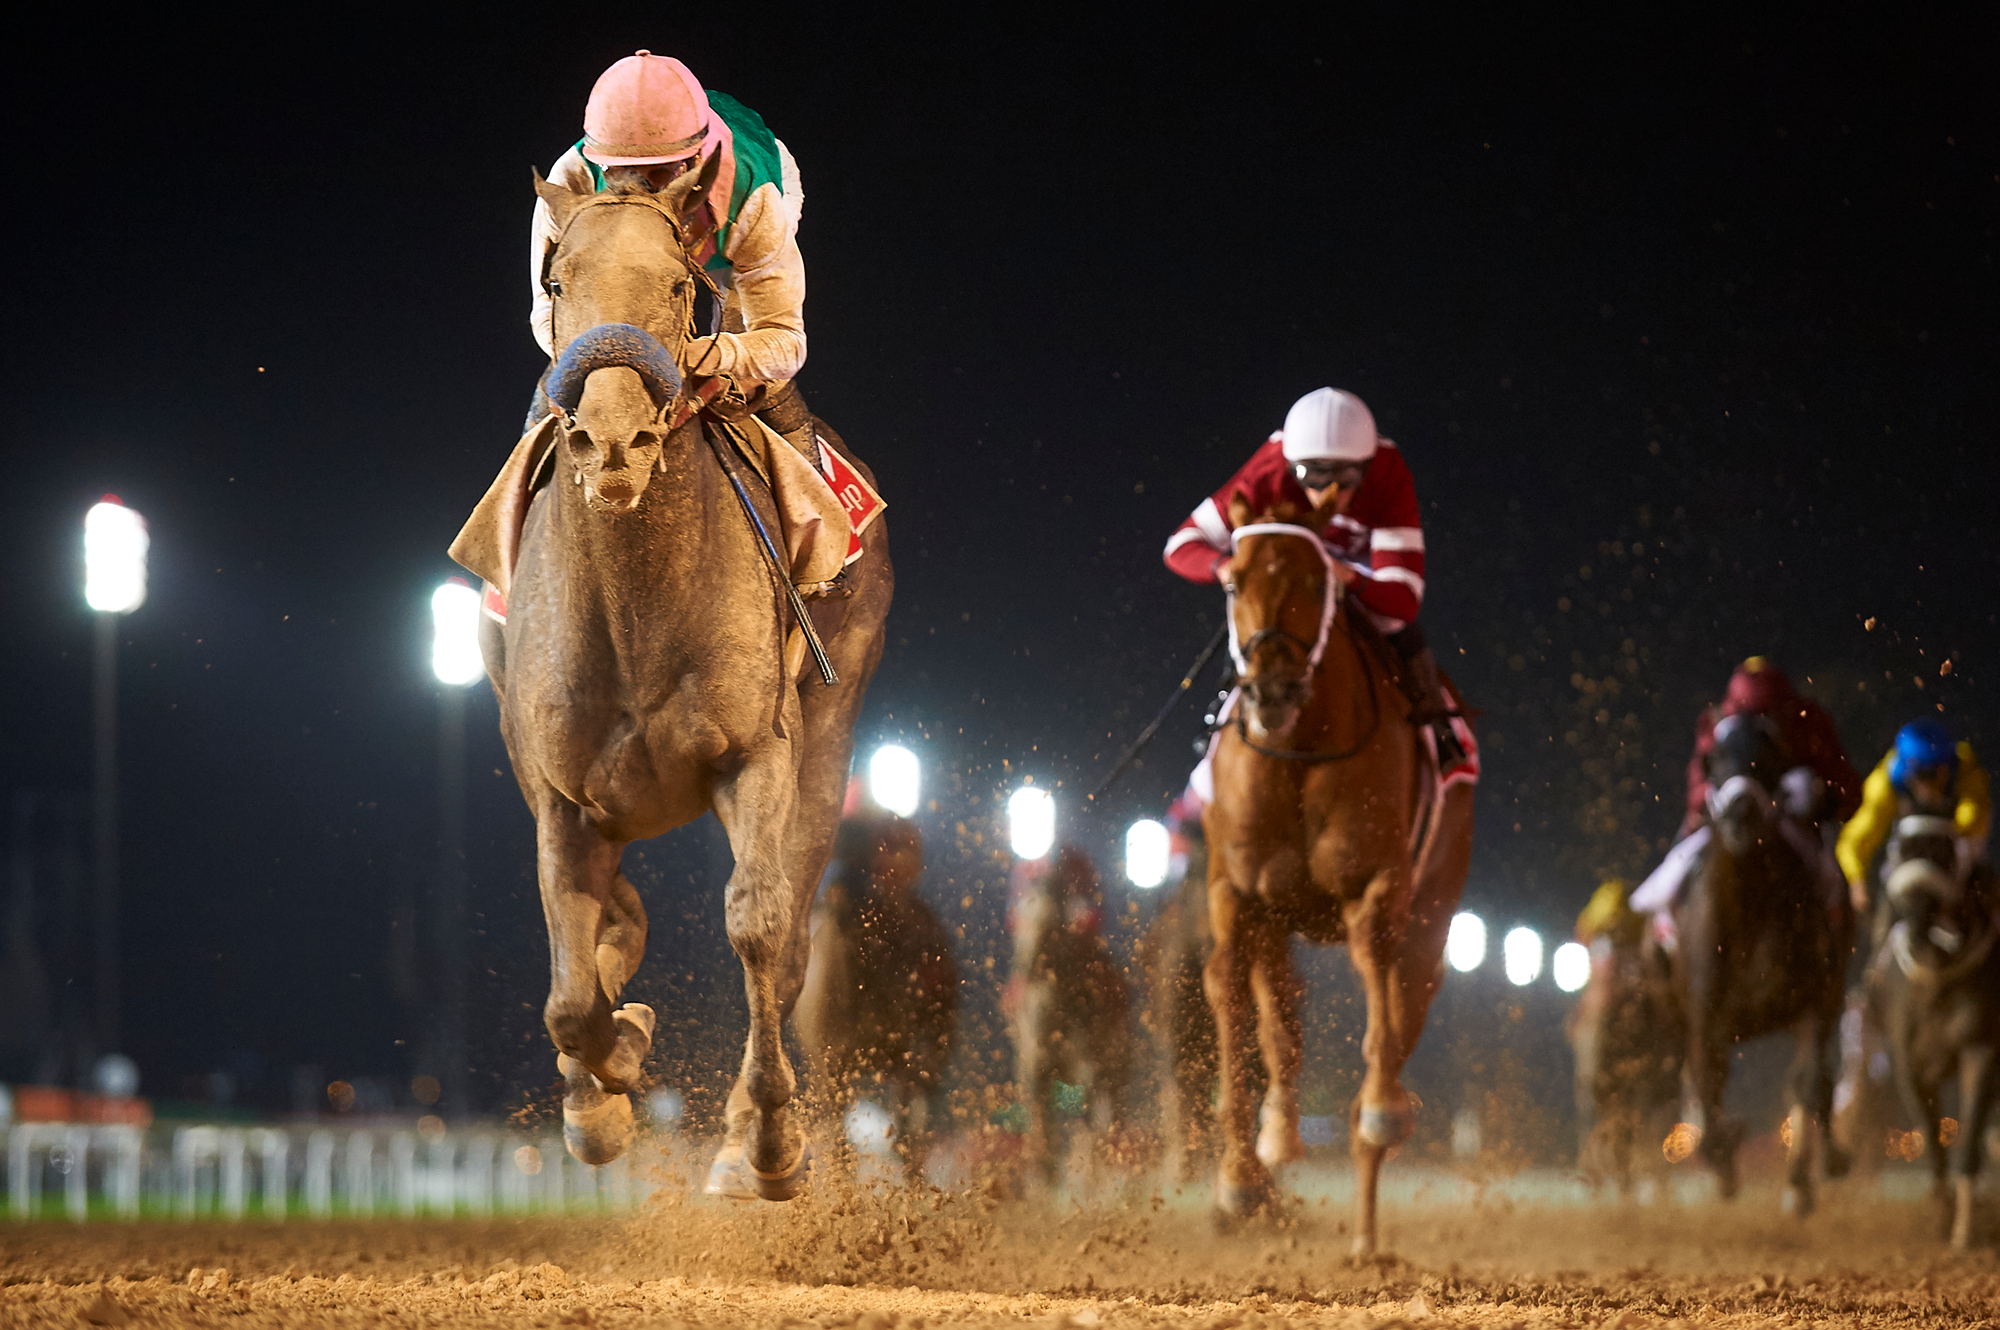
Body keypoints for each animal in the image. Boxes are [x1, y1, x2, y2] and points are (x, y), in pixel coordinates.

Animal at [468, 161, 892, 1200]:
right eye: (556, 280)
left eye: (674, 285)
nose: (613, 439)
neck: (634, 609)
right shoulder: (562, 797)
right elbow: (569, 991)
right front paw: (604, 1084)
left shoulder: (756, 756)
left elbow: (759, 925)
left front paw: (765, 1140)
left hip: (831, 733)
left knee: (788, 938)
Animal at [1192, 492, 1480, 1248]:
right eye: (1231, 581)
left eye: (1317, 581)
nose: (1271, 688)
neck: (1297, 754)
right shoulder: (1238, 895)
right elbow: (1234, 1001)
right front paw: (1239, 1176)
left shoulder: (1376, 888)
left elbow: (1378, 1008)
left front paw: (1379, 1110)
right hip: (1278, 922)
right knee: (1280, 1023)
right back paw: (1278, 1141)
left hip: (1434, 917)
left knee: (1401, 1012)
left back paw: (1366, 1235)